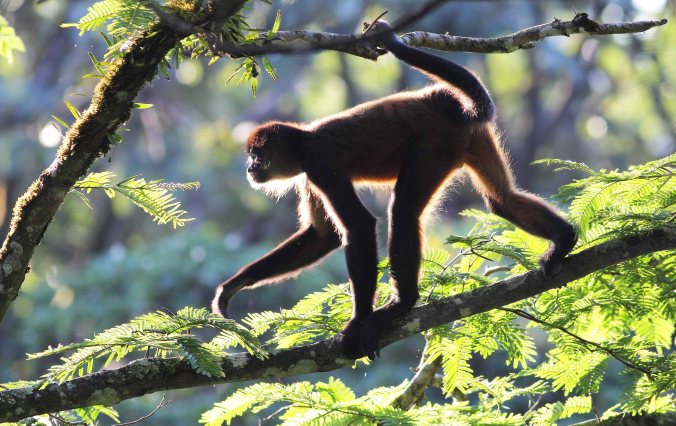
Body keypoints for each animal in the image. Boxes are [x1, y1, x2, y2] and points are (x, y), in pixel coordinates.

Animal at [212, 20, 577, 359]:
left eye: (257, 156)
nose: (250, 169)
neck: (303, 139)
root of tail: (450, 106)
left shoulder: (317, 160)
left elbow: (359, 226)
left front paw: (359, 322)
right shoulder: (308, 176)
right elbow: (323, 236)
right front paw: (233, 287)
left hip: (433, 146)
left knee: (403, 210)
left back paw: (402, 303)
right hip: (471, 140)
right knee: (502, 200)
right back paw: (565, 238)